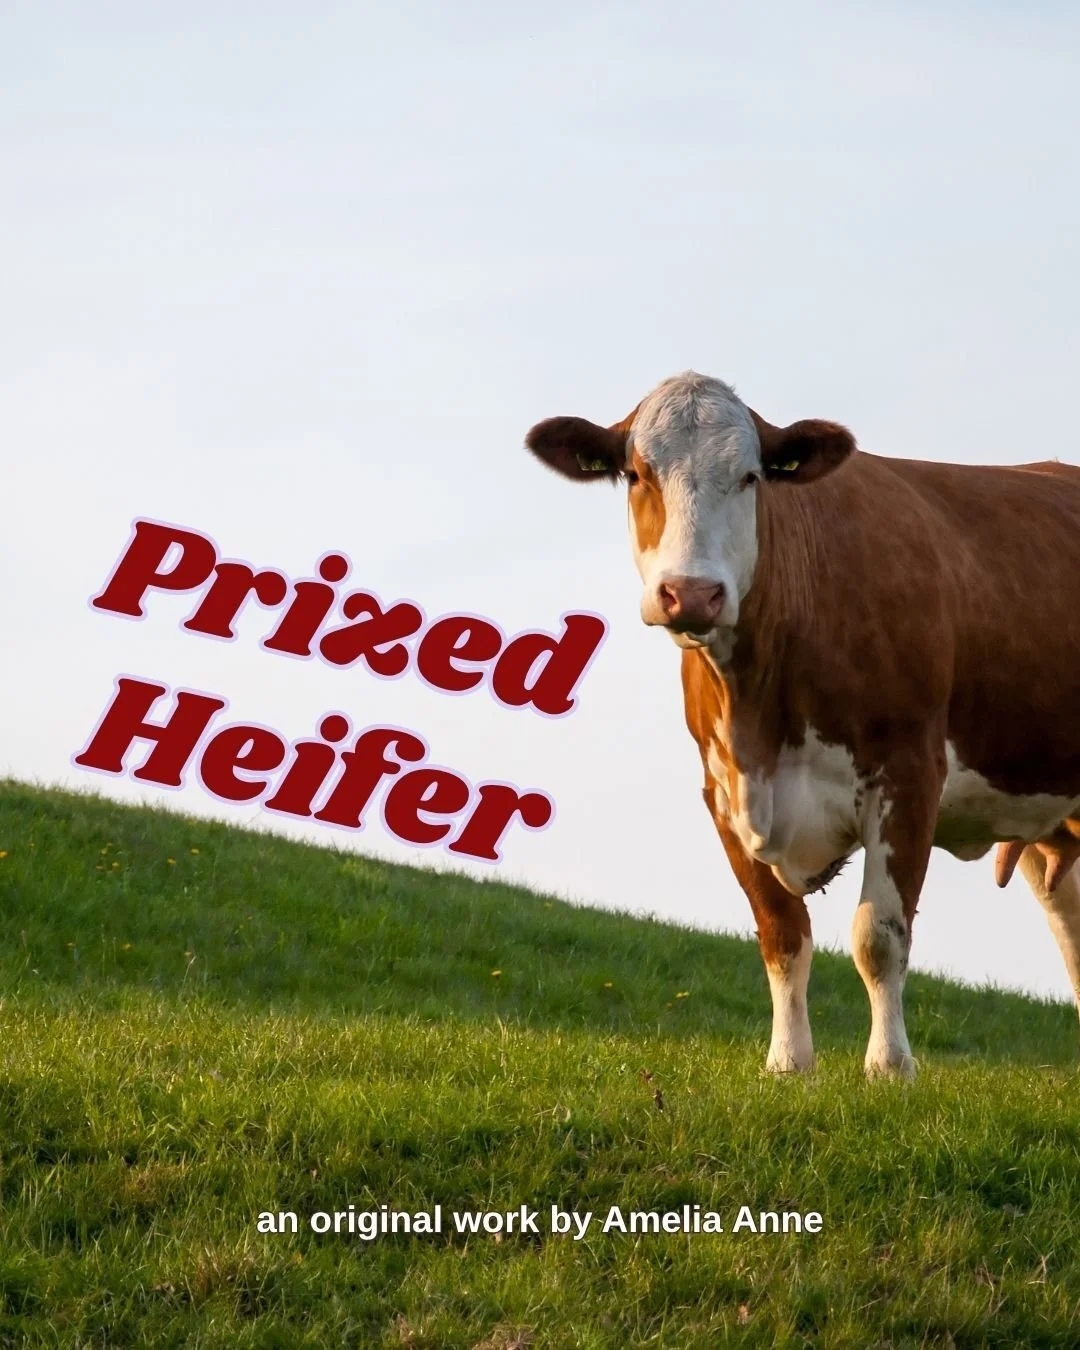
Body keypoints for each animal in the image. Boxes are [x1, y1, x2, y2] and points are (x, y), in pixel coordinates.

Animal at [525, 371, 1080, 1077]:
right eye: (636, 474)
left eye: (750, 477)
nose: (692, 593)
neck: (762, 718)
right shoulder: (722, 791)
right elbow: (781, 933)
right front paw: (789, 1062)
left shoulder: (909, 773)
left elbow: (879, 936)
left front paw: (889, 1066)